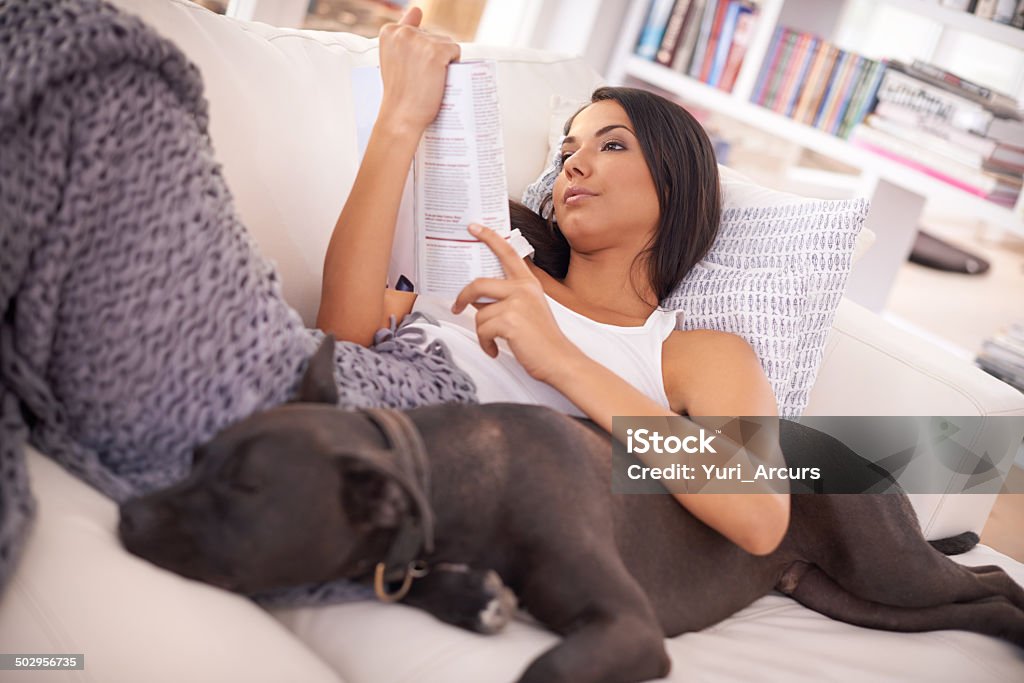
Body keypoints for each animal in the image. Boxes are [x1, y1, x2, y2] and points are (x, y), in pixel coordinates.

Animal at [121, 339, 1024, 679]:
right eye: (197, 459)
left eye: (243, 488)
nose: (128, 517)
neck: (454, 476)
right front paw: (472, 595)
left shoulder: (626, 626)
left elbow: (545, 667)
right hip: (850, 599)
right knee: (975, 596)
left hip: (887, 569)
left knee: (991, 581)